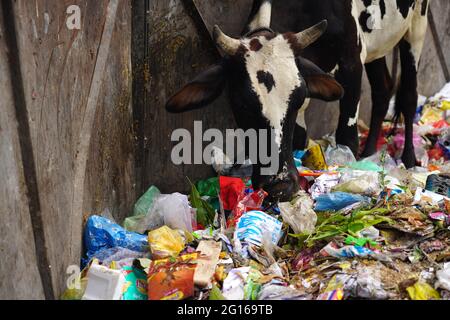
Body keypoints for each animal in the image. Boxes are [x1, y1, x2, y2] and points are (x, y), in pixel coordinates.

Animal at [165, 0, 428, 201]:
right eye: (241, 104)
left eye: (297, 97)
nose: (280, 184)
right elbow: (300, 138)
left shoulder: (352, 62)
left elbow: (347, 137)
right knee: (382, 89)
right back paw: (370, 152)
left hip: (416, 24)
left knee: (408, 95)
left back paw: (409, 160)